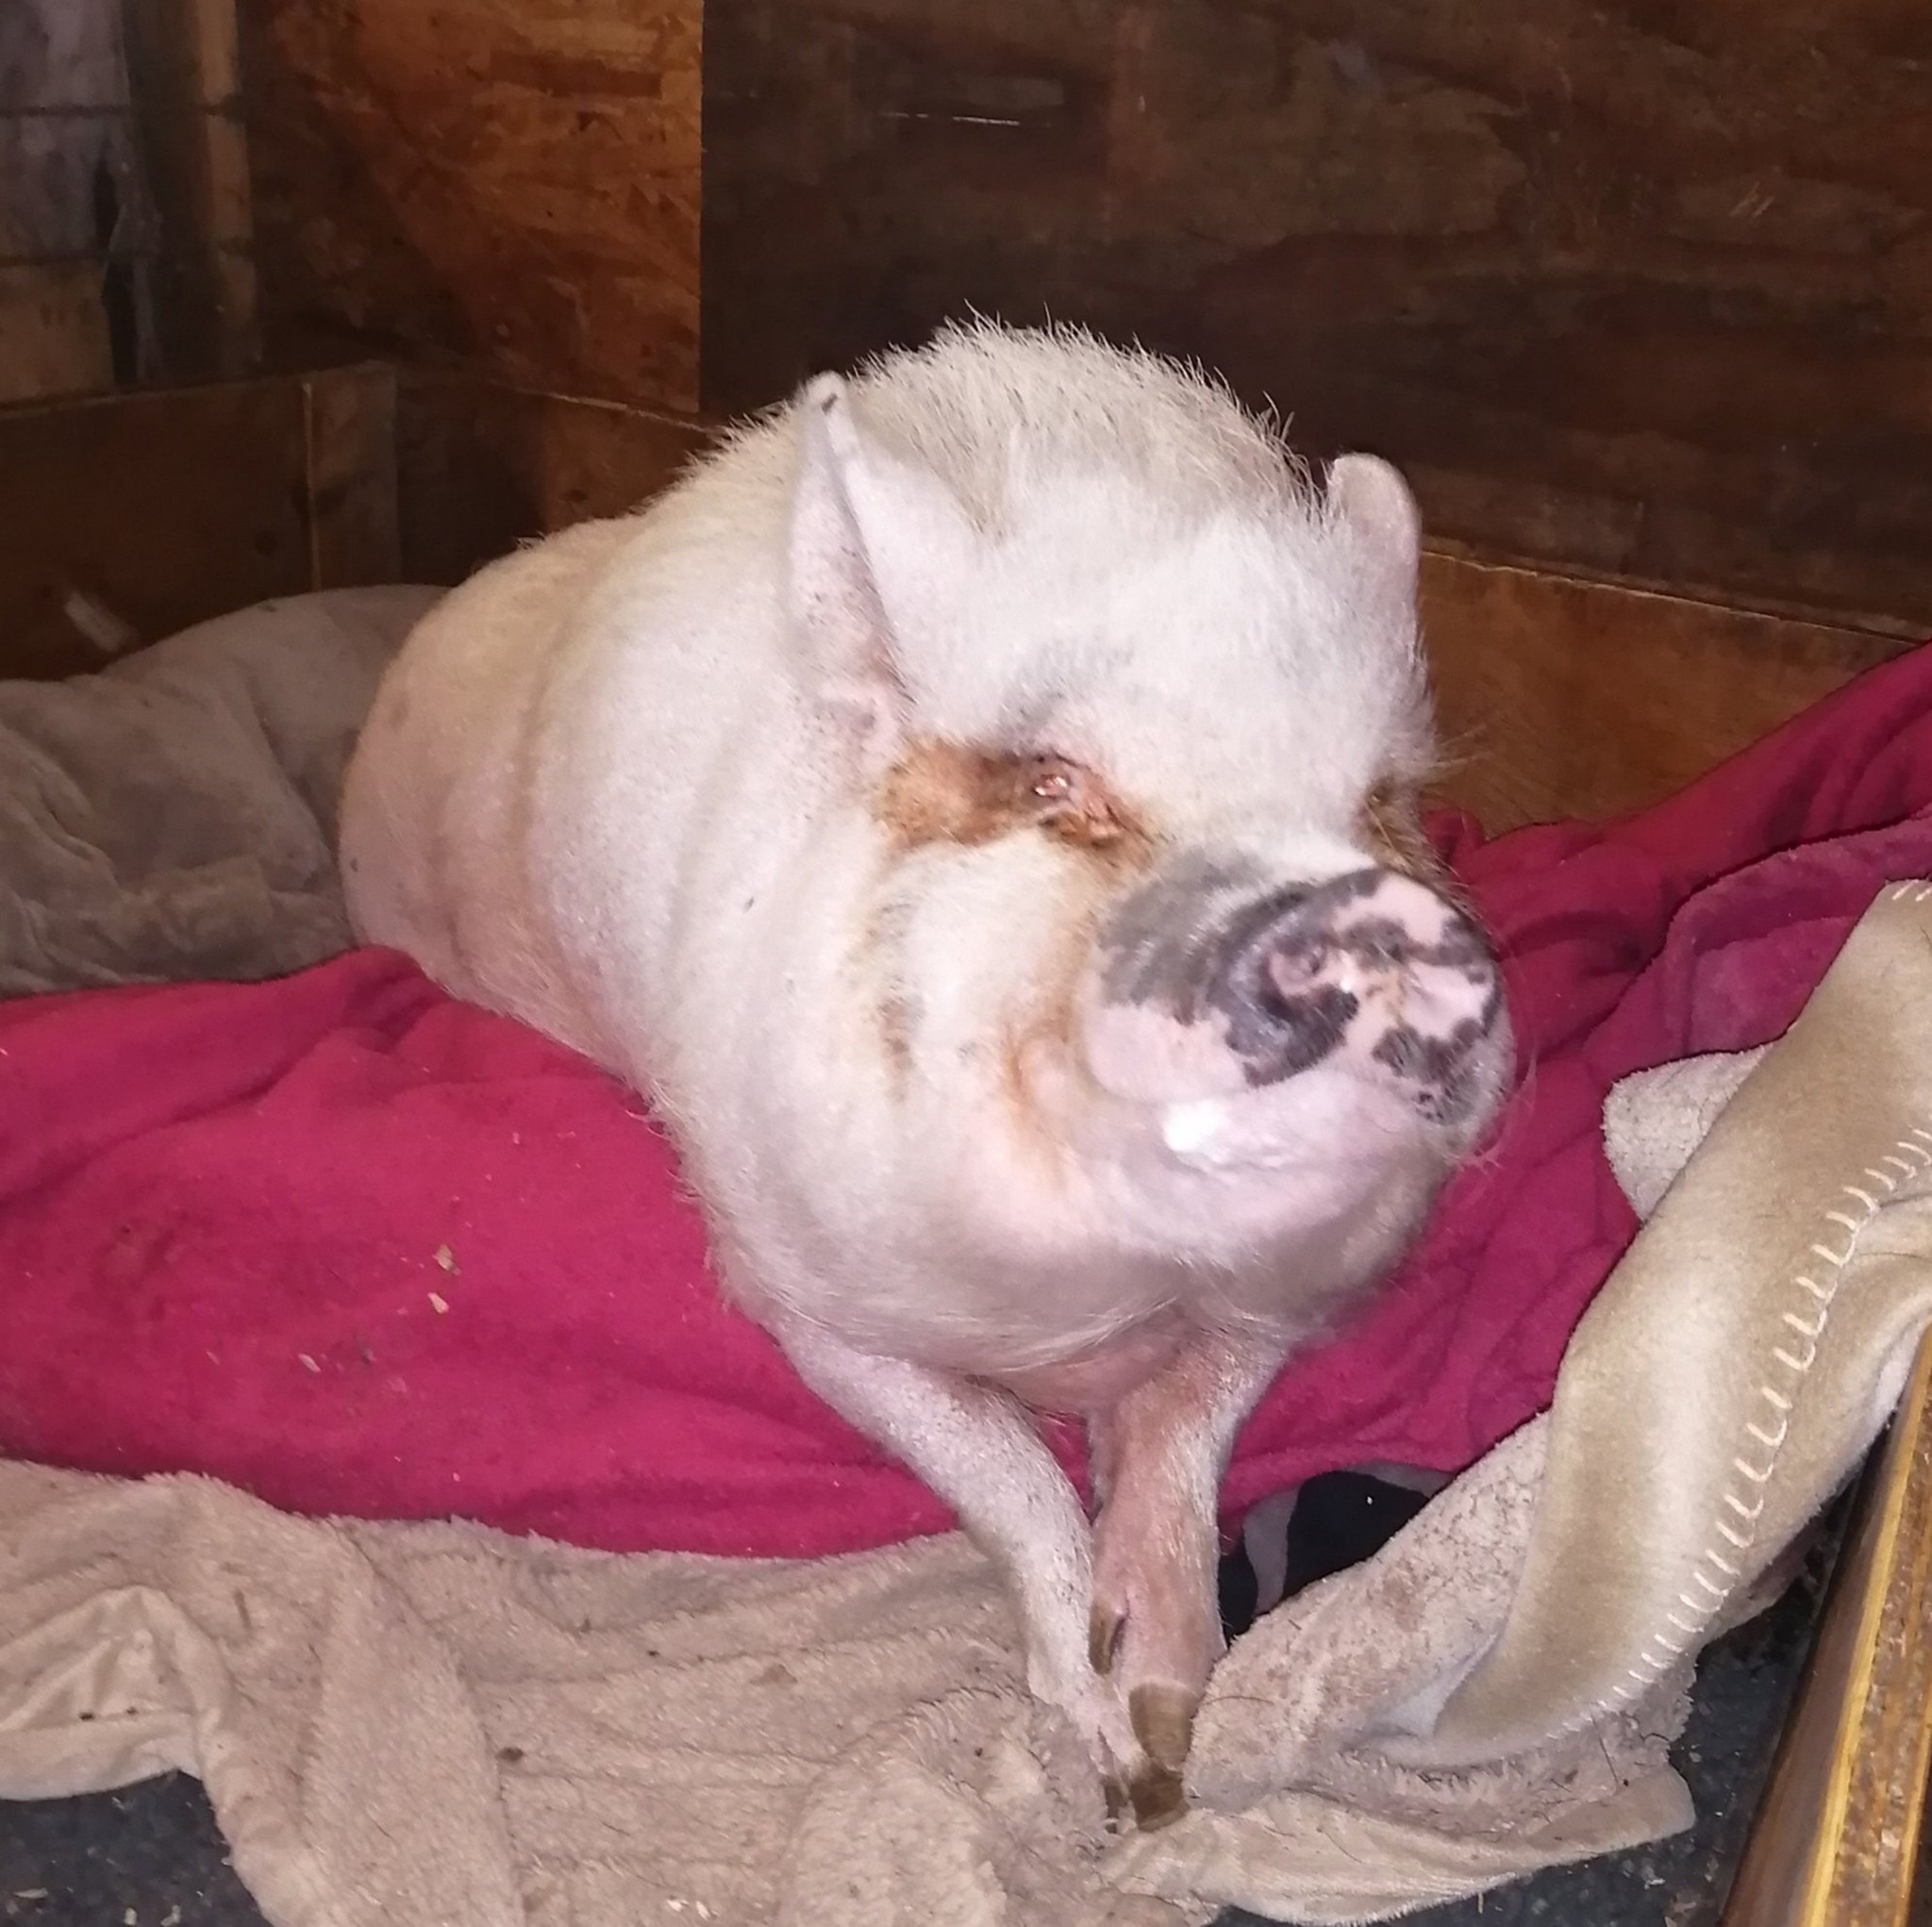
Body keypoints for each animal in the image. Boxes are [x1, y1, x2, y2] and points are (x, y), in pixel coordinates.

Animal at [336, 321, 1512, 1827]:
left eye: (1378, 806)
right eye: (1057, 785)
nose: (1370, 920)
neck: (1101, 1301)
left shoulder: (1287, 1301)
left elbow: (1187, 1433)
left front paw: (1167, 1735)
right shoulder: (808, 1289)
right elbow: (1000, 1472)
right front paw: (1110, 1756)